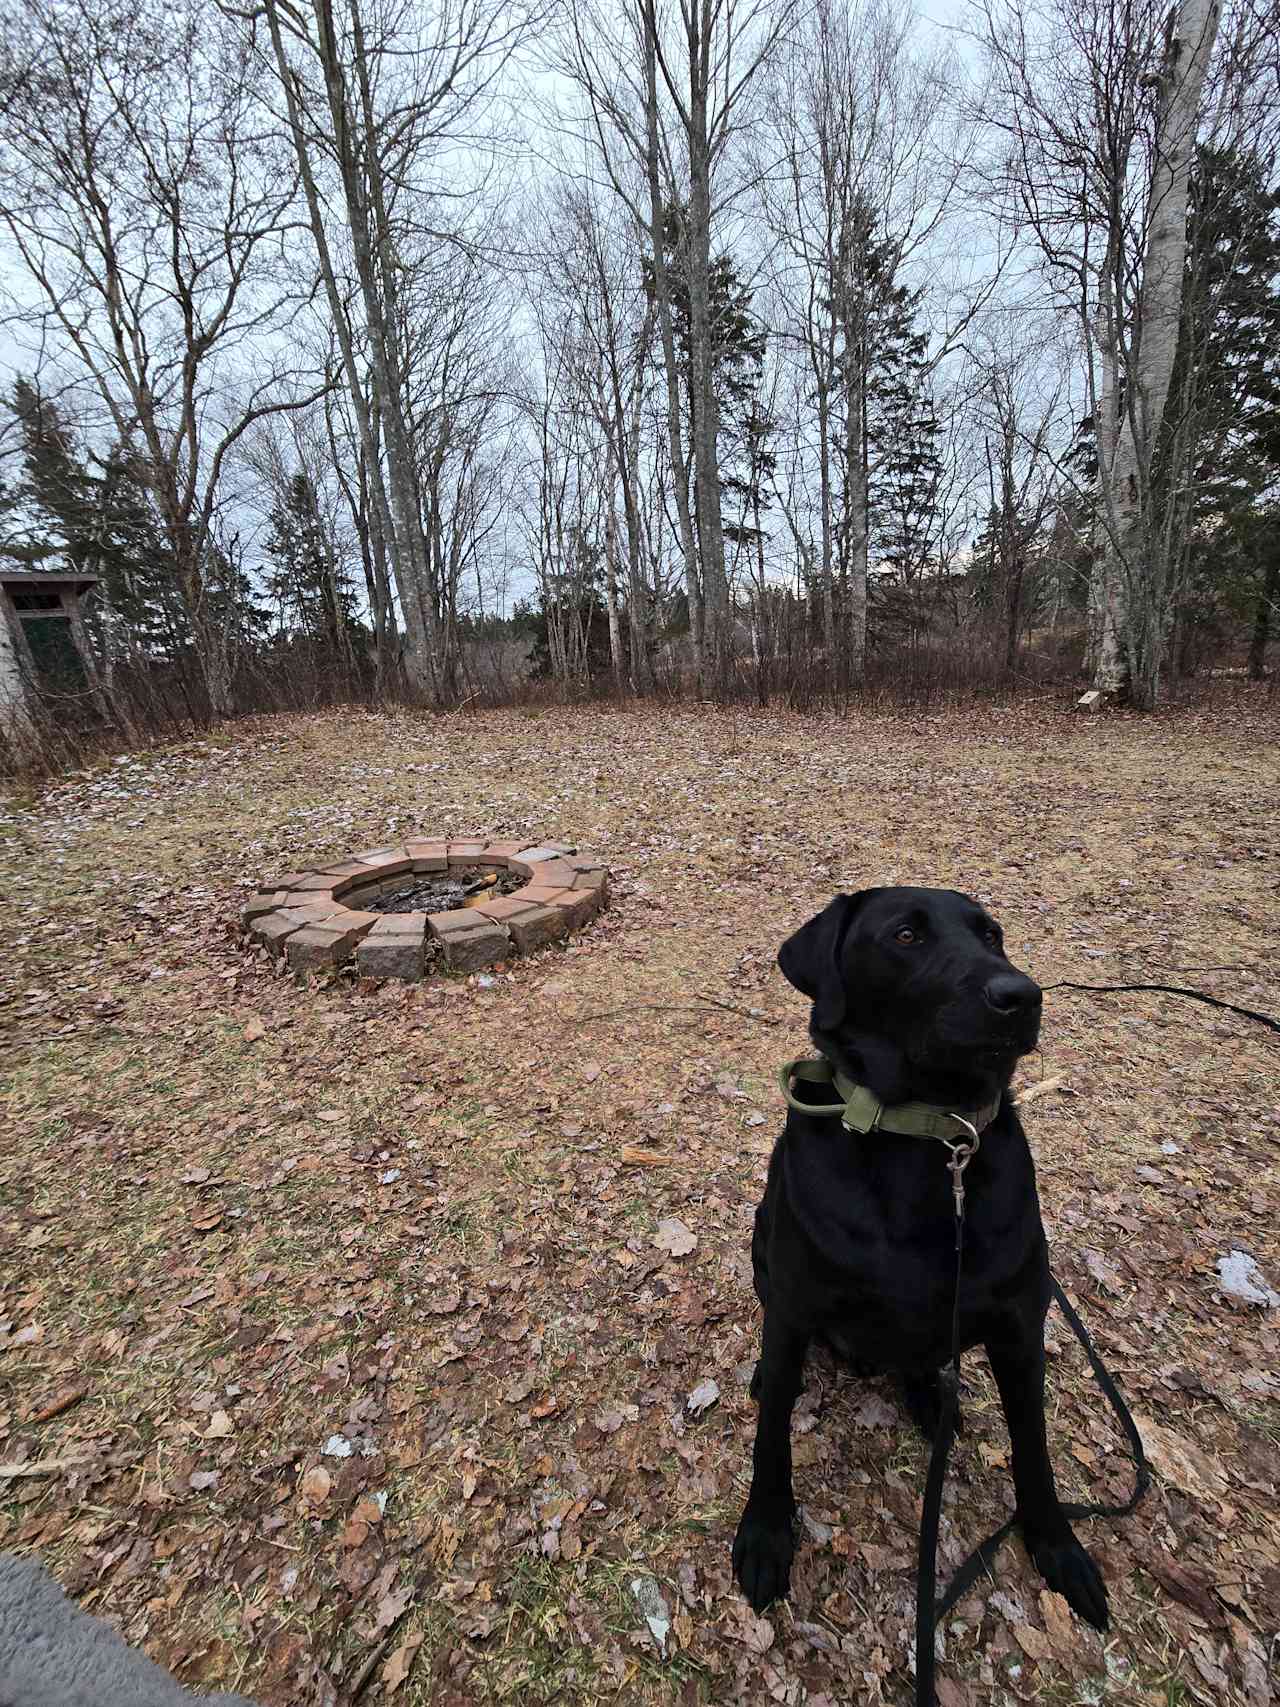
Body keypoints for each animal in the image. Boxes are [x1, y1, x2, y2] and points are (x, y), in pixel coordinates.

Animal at [730, 894, 1112, 1625]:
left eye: (992, 935)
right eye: (906, 935)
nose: (1021, 995)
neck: (927, 1133)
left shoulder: (1020, 1327)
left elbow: (1034, 1446)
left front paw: (1057, 1544)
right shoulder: (793, 1305)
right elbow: (771, 1439)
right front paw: (765, 1532)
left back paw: (932, 1399)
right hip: (762, 1245)